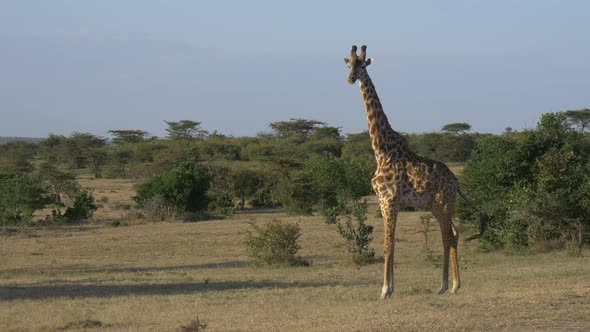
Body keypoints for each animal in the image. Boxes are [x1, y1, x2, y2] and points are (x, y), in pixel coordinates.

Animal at [344, 45, 464, 300]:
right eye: (349, 64)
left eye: (362, 65)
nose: (350, 79)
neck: (381, 150)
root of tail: (457, 182)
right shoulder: (382, 201)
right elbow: (389, 244)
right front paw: (389, 287)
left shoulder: (390, 200)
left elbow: (388, 244)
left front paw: (385, 290)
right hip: (434, 205)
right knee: (453, 233)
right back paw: (450, 285)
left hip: (445, 202)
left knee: (448, 236)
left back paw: (448, 285)